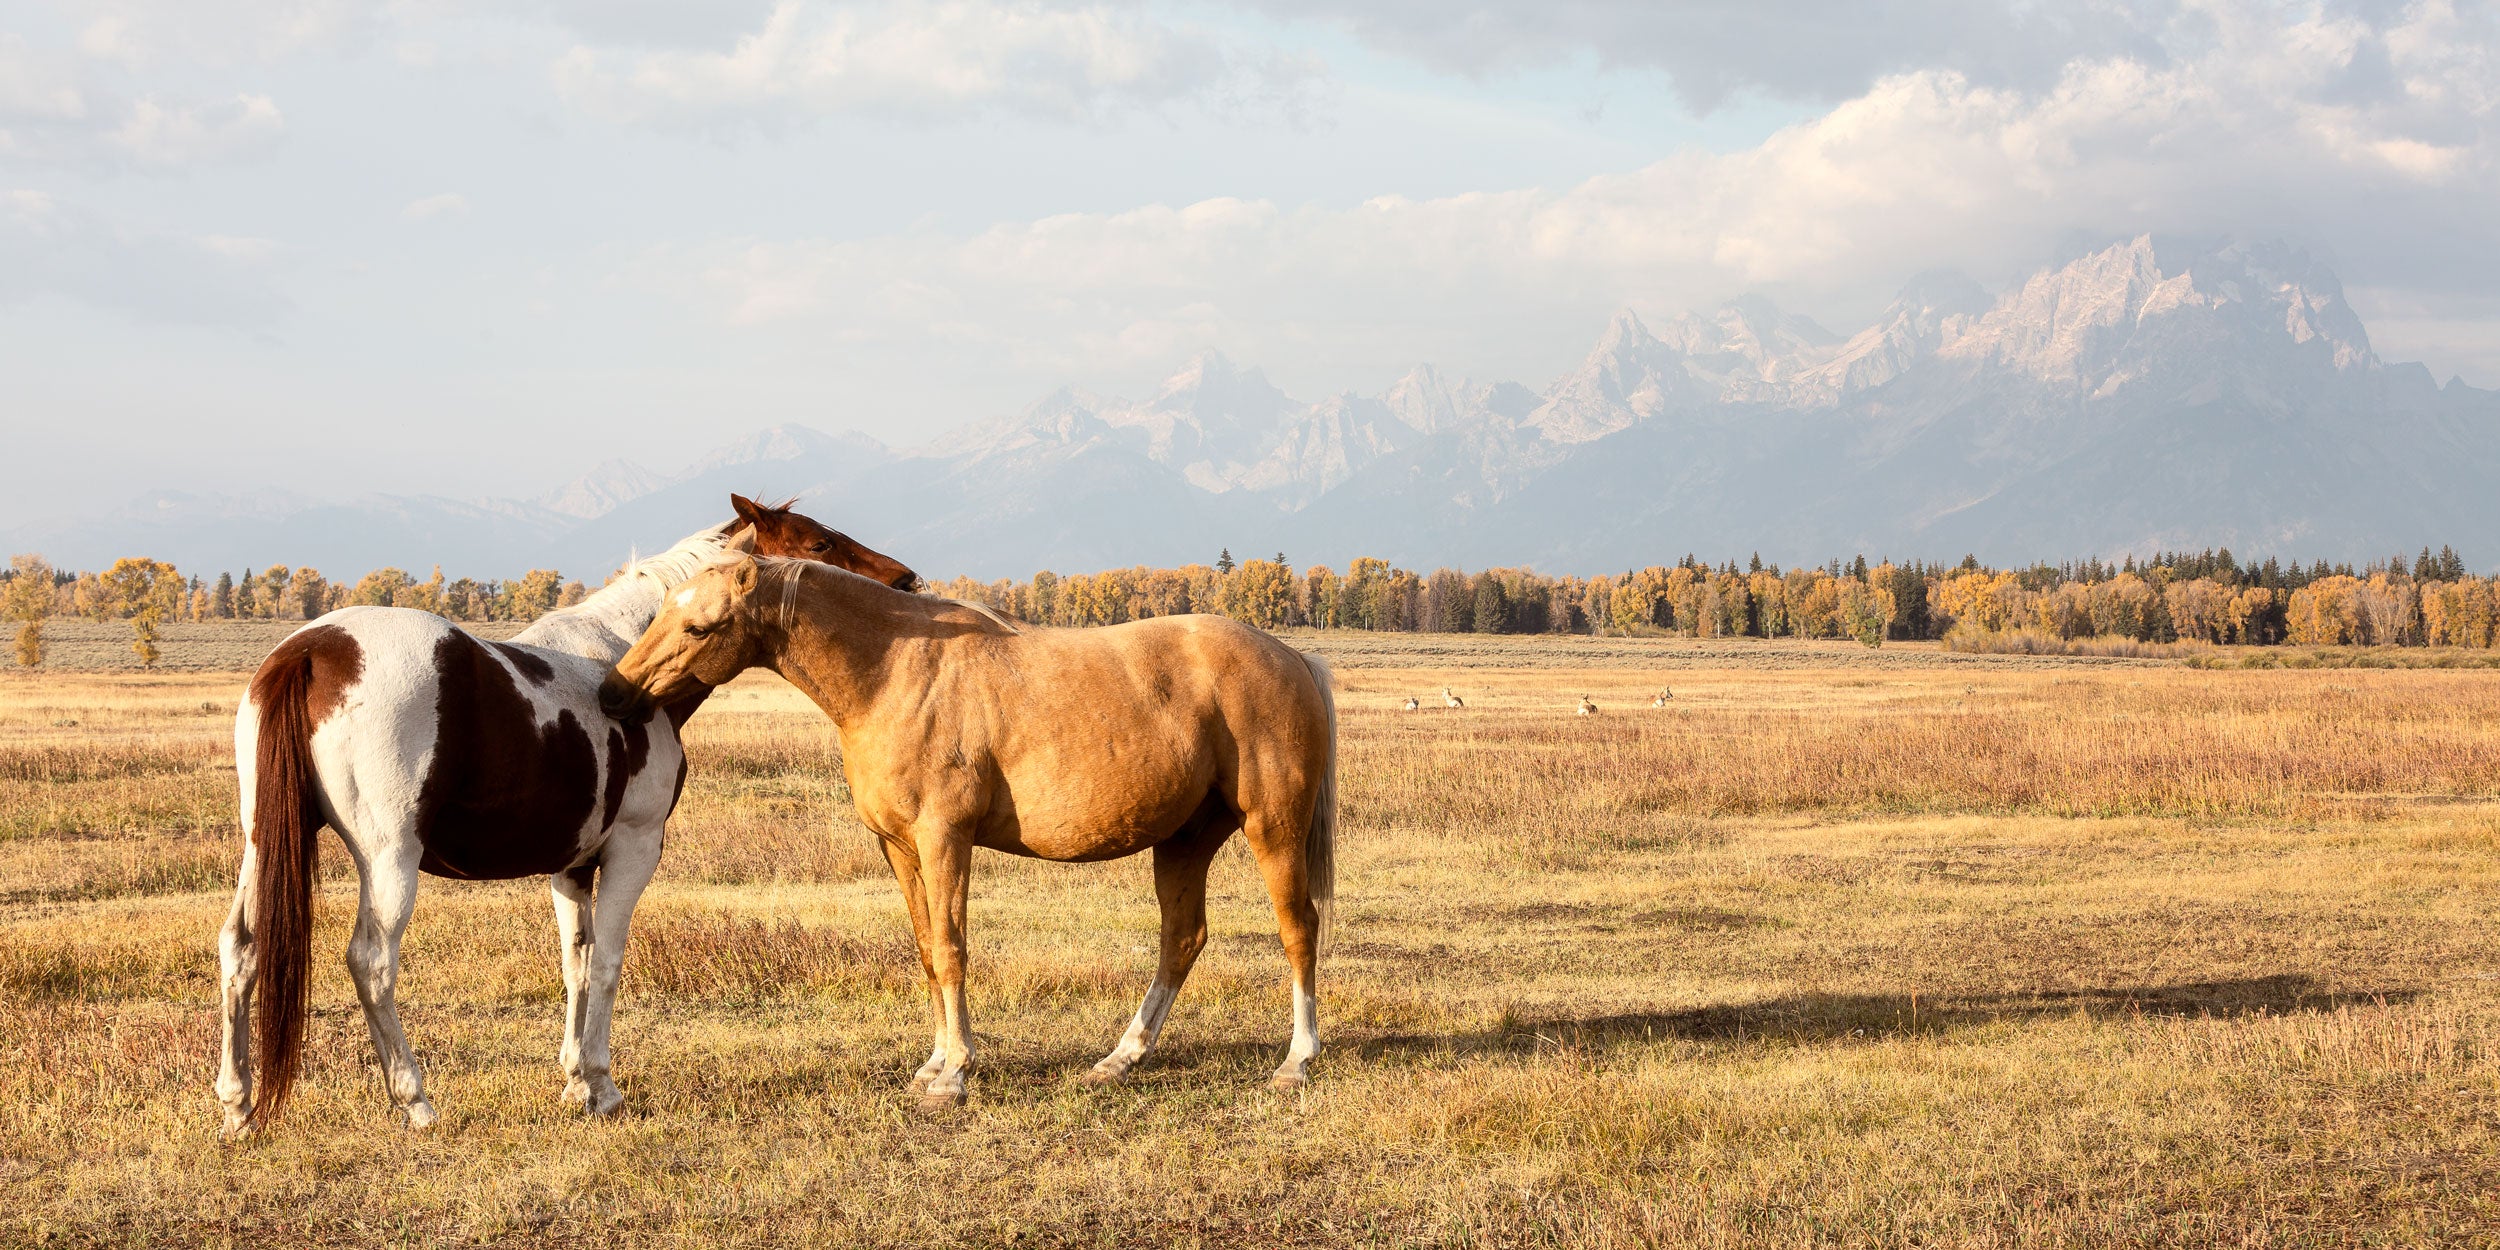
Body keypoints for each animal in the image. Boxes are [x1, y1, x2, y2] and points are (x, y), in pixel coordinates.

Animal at [217, 502, 920, 1140]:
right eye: (818, 543)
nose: (906, 581)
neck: (621, 665)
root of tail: (313, 650)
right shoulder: (634, 849)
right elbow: (606, 961)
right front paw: (602, 1087)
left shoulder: (572, 866)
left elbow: (575, 964)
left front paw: (575, 1080)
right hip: (390, 861)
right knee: (372, 962)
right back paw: (415, 1100)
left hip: (263, 845)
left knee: (241, 948)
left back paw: (237, 1106)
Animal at [597, 555, 1340, 1105]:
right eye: (662, 611)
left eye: (701, 626)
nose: (612, 693)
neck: (894, 672)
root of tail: (1290, 657)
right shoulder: (899, 848)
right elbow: (929, 950)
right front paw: (934, 1063)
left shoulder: (943, 839)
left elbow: (953, 950)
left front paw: (954, 1073)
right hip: (1184, 840)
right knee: (1181, 940)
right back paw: (1119, 1059)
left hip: (1272, 829)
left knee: (1297, 929)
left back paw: (1296, 1061)